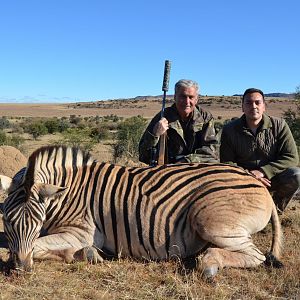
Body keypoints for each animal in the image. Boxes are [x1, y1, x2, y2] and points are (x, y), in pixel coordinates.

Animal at [0, 146, 282, 278]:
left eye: (36, 222)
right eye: (7, 221)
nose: (20, 269)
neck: (67, 192)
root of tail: (258, 182)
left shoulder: (82, 233)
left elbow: (38, 246)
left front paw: (86, 254)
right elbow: (26, 246)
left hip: (209, 221)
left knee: (256, 256)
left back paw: (210, 263)